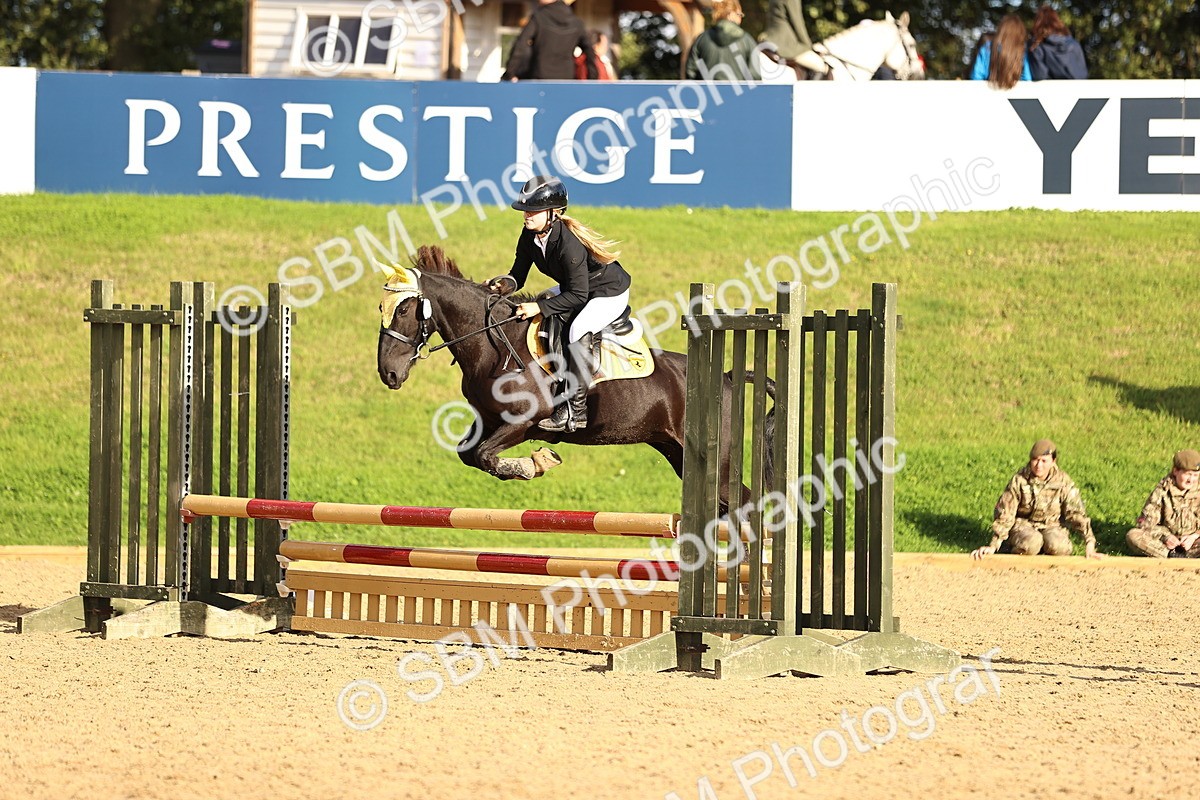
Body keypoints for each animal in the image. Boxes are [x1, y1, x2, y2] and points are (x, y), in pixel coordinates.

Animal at [375, 246, 769, 512]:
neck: (494, 346)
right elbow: (470, 455)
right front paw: (533, 463)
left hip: (716, 463)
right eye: (381, 308)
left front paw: (534, 464)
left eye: (406, 309)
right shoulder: (487, 421)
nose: (388, 373)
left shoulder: (525, 423)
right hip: (679, 453)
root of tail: (728, 378)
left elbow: (486, 455)